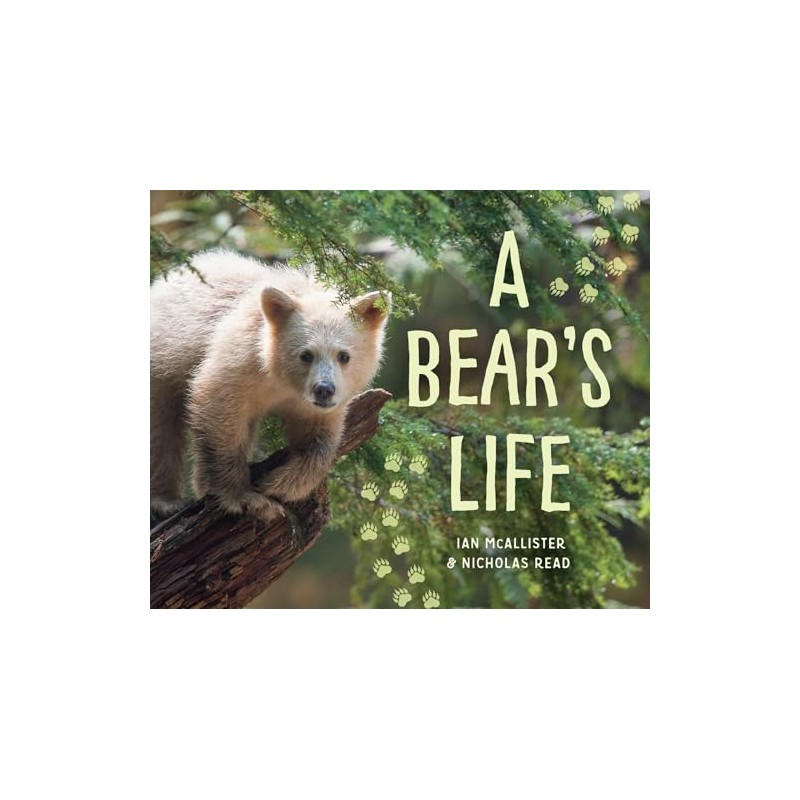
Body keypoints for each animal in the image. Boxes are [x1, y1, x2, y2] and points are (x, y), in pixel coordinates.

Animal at [150, 249, 390, 523]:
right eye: (305, 354)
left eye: (344, 355)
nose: (324, 390)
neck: (281, 382)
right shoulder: (240, 361)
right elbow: (217, 409)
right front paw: (245, 497)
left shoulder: (314, 406)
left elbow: (319, 440)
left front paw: (280, 484)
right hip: (163, 359)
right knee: (160, 428)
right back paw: (167, 501)